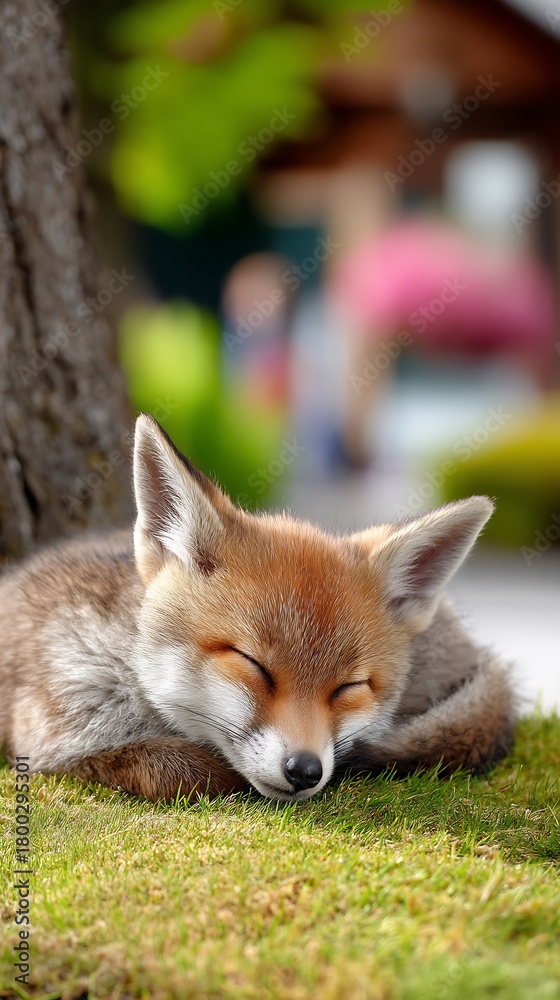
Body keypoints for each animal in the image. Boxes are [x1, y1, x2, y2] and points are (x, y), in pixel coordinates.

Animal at [0, 414, 517, 802]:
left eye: (348, 688)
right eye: (254, 665)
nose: (306, 770)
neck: (131, 680)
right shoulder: (54, 742)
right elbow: (176, 769)